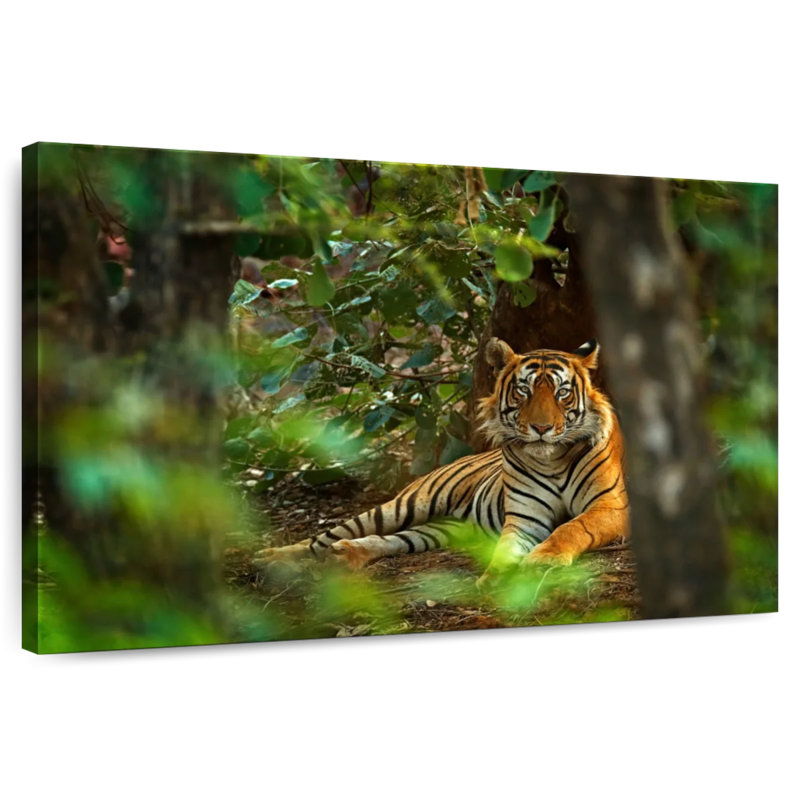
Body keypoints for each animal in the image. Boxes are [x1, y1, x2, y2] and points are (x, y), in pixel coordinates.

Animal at [256, 338, 629, 584]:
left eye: (562, 392)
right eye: (523, 390)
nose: (541, 428)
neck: (552, 460)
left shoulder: (610, 505)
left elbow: (572, 526)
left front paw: (543, 560)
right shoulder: (524, 518)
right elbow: (506, 548)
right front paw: (495, 578)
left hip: (440, 529)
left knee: (391, 540)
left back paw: (345, 554)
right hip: (404, 506)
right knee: (323, 538)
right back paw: (272, 557)